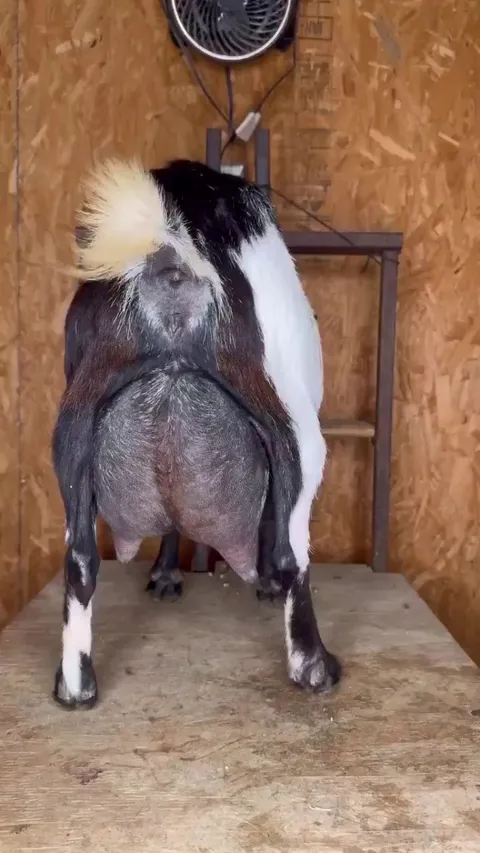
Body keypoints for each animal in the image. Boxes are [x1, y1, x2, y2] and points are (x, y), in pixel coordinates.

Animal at [52, 158, 340, 708]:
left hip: (73, 435)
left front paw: (165, 576)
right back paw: (314, 668)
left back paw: (75, 688)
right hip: (295, 431)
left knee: (78, 561)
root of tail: (171, 257)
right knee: (292, 553)